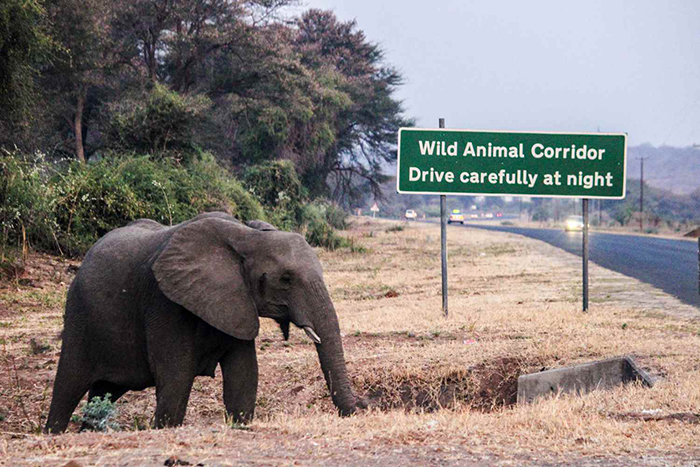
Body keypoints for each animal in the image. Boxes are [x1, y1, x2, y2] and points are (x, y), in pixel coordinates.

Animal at [45, 213, 366, 436]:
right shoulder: (166, 303)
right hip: (80, 315)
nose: (363, 406)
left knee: (102, 393)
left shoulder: (236, 303)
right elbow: (175, 378)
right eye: (286, 279)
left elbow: (244, 376)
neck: (248, 237)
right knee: (67, 389)